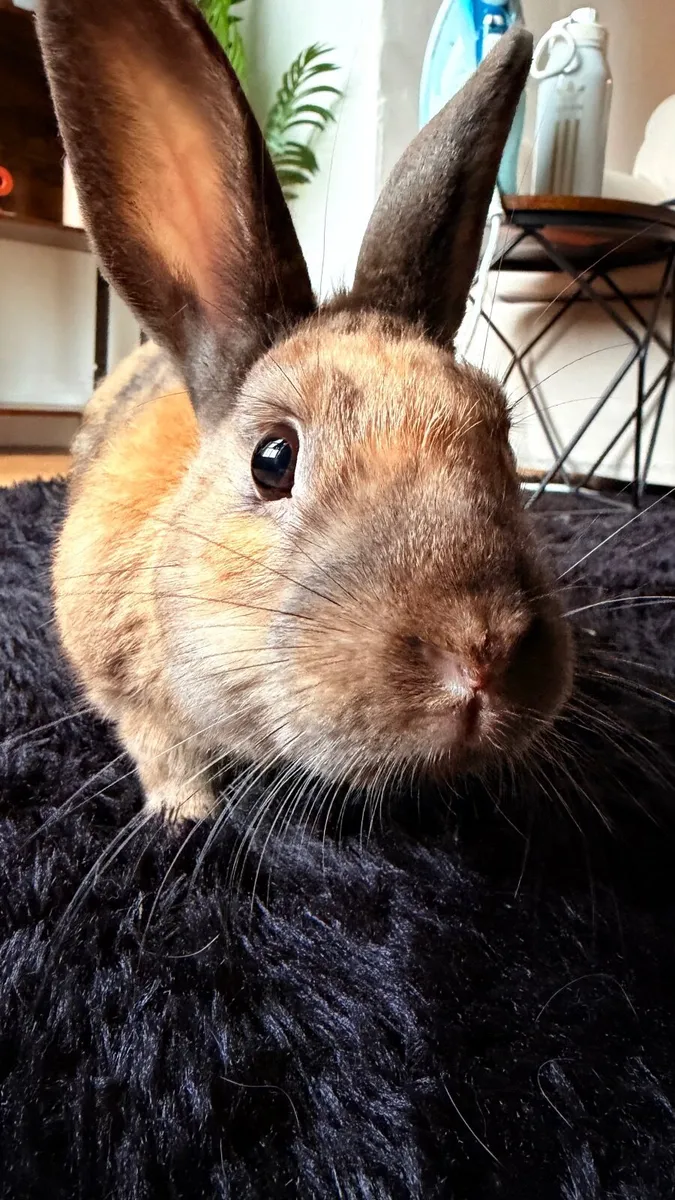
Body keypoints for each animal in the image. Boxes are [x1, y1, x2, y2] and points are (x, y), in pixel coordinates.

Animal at [39, 0, 573, 822]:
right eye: (273, 459)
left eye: (503, 440)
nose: (481, 655)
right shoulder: (116, 673)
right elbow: (156, 742)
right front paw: (188, 814)